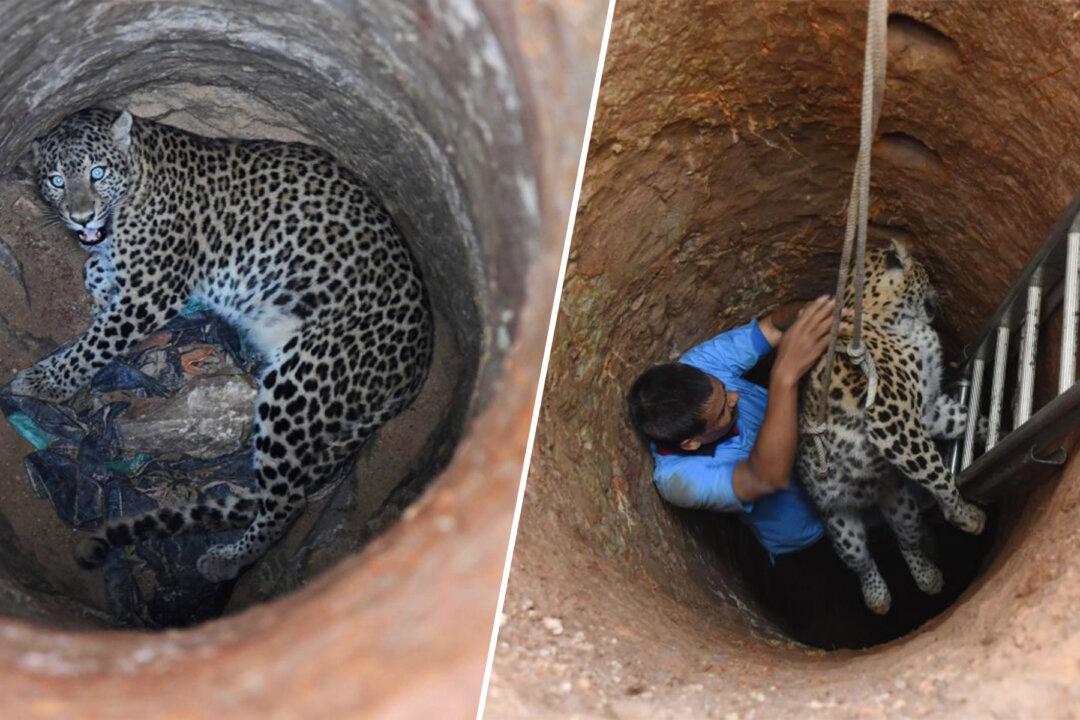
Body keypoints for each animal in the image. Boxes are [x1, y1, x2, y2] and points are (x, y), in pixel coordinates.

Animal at [7, 108, 433, 583]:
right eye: (57, 180)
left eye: (97, 173)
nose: (81, 217)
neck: (139, 175)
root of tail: (418, 364)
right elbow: (94, 274)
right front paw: (98, 292)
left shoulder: (153, 291)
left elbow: (98, 342)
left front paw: (45, 382)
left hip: (298, 383)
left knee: (286, 502)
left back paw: (227, 559)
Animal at [796, 239, 986, 615]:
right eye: (925, 272)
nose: (938, 292)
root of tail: (868, 497)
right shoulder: (892, 418)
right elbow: (938, 473)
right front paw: (963, 513)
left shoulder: (924, 411)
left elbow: (961, 418)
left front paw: (987, 422)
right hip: (840, 524)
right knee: (862, 561)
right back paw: (878, 598)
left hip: (899, 502)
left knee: (907, 539)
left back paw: (928, 577)